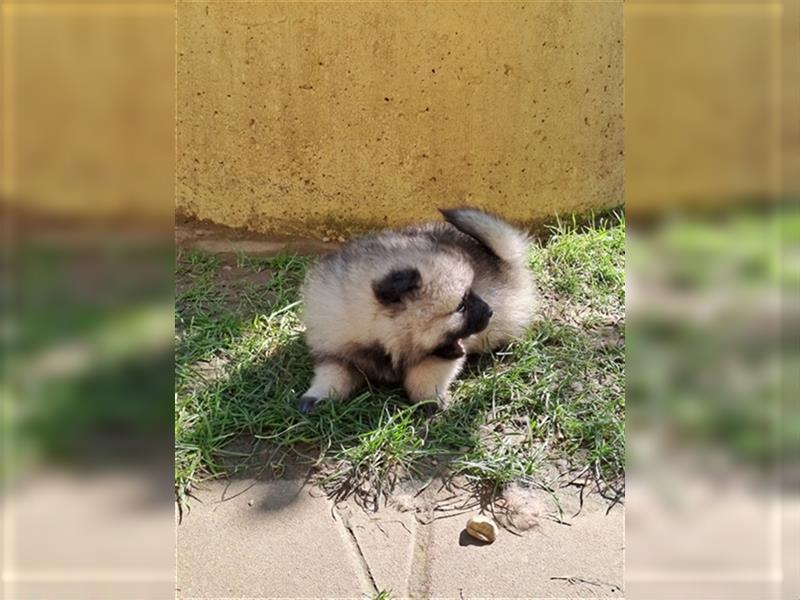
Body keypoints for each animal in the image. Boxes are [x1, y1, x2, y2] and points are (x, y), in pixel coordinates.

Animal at [296, 207, 536, 412]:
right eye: (461, 305)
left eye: (471, 292)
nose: (489, 311)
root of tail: (503, 260)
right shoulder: (336, 351)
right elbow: (332, 374)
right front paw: (317, 396)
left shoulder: (440, 356)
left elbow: (424, 375)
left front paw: (430, 399)